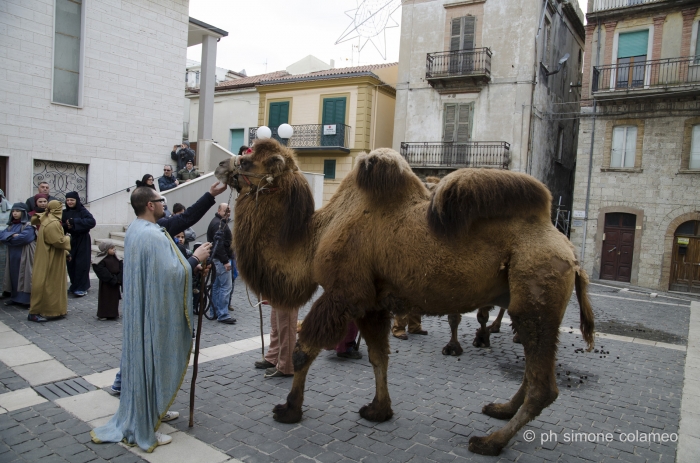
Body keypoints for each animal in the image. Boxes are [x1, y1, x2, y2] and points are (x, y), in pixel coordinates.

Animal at [216, 139, 592, 456]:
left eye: (248, 160)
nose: (221, 165)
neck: (317, 235)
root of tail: (569, 252)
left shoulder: (342, 292)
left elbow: (303, 351)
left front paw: (289, 409)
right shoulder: (371, 302)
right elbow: (378, 357)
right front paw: (378, 410)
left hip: (536, 295)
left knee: (544, 386)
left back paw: (489, 441)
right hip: (527, 301)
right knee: (531, 369)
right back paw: (500, 409)